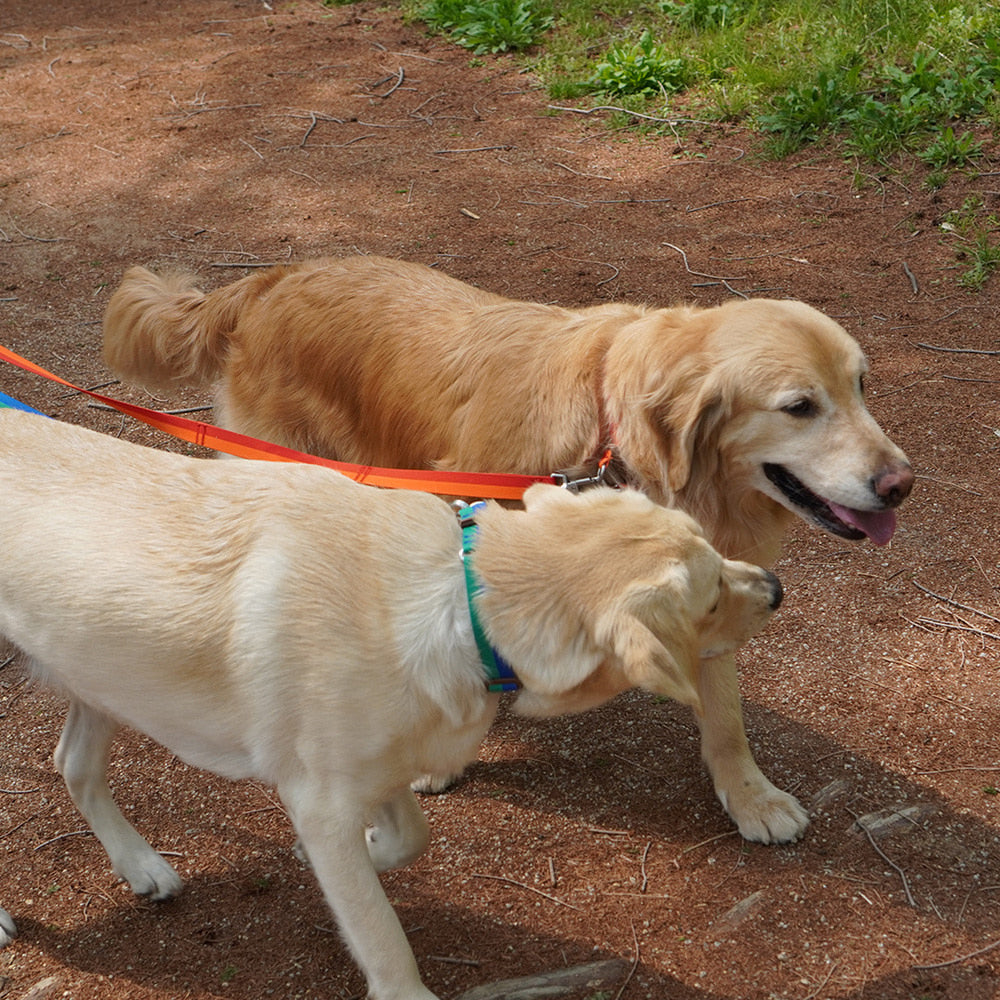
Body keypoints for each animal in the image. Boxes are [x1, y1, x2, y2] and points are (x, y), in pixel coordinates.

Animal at [0, 408, 780, 1000]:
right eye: (711, 598)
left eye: (715, 550)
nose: (774, 588)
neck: (464, 598)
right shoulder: (320, 798)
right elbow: (380, 935)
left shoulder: (376, 770)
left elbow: (410, 837)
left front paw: (362, 854)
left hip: (99, 669)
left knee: (72, 765)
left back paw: (140, 864)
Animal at [103, 254, 916, 840]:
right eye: (799, 406)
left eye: (862, 386)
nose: (902, 483)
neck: (610, 436)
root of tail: (267, 281)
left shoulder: (703, 581)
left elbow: (724, 714)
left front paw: (750, 794)